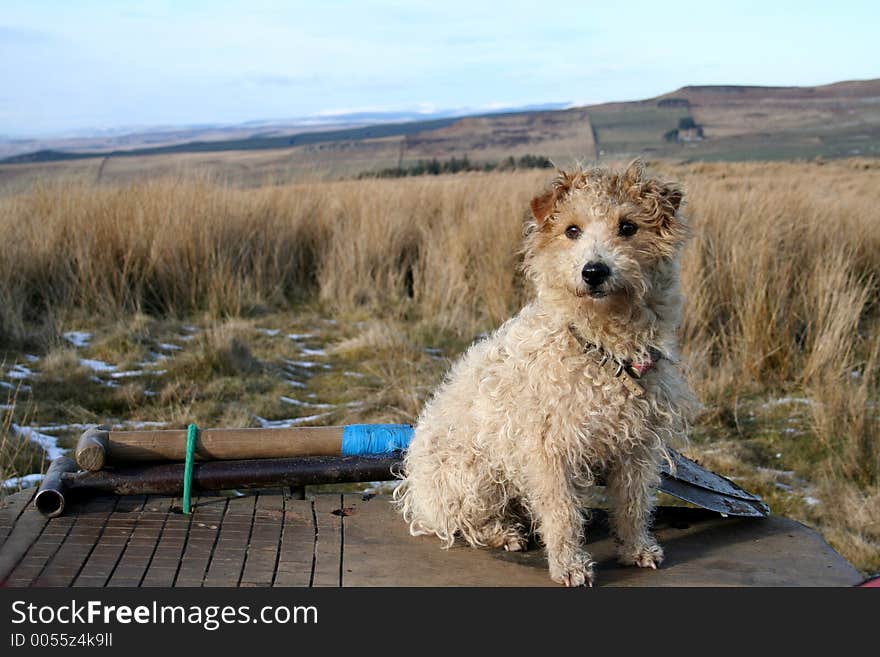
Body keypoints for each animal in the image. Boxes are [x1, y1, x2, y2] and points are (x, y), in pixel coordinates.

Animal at [396, 159, 696, 584]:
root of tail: (415, 492)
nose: (593, 271)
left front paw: (636, 548)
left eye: (627, 227)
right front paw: (569, 565)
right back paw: (504, 532)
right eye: (572, 230)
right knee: (463, 522)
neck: (602, 351)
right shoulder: (548, 449)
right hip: (473, 474)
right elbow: (562, 514)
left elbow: (634, 504)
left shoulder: (635, 444)